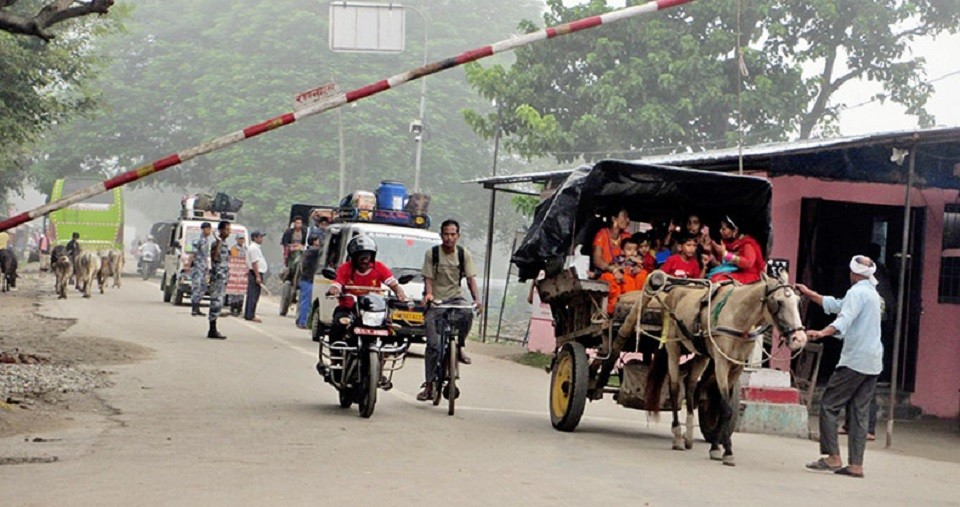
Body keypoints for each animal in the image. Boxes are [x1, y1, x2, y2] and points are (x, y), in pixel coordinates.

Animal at [640, 270, 808, 468]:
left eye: (798, 301)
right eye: (779, 301)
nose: (799, 339)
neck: (738, 318)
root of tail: (675, 290)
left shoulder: (737, 366)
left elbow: (725, 408)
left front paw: (718, 447)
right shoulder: (721, 364)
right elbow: (725, 408)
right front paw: (724, 450)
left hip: (701, 355)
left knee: (690, 385)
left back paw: (688, 434)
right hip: (673, 347)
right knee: (674, 388)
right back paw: (678, 437)